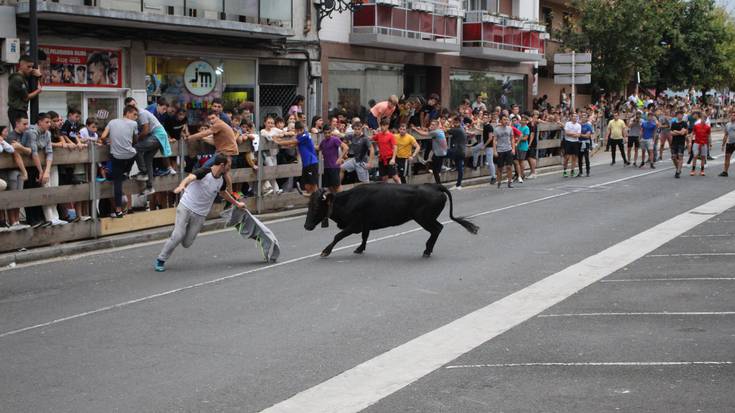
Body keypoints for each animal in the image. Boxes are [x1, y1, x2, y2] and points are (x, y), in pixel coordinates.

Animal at [304, 183, 480, 256]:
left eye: (316, 206)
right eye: (308, 205)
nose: (306, 226)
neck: (349, 200)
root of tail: (434, 185)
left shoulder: (354, 225)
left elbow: (337, 236)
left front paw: (325, 251)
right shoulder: (365, 224)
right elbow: (365, 237)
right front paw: (360, 249)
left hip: (424, 218)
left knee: (437, 229)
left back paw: (427, 250)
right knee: (438, 229)